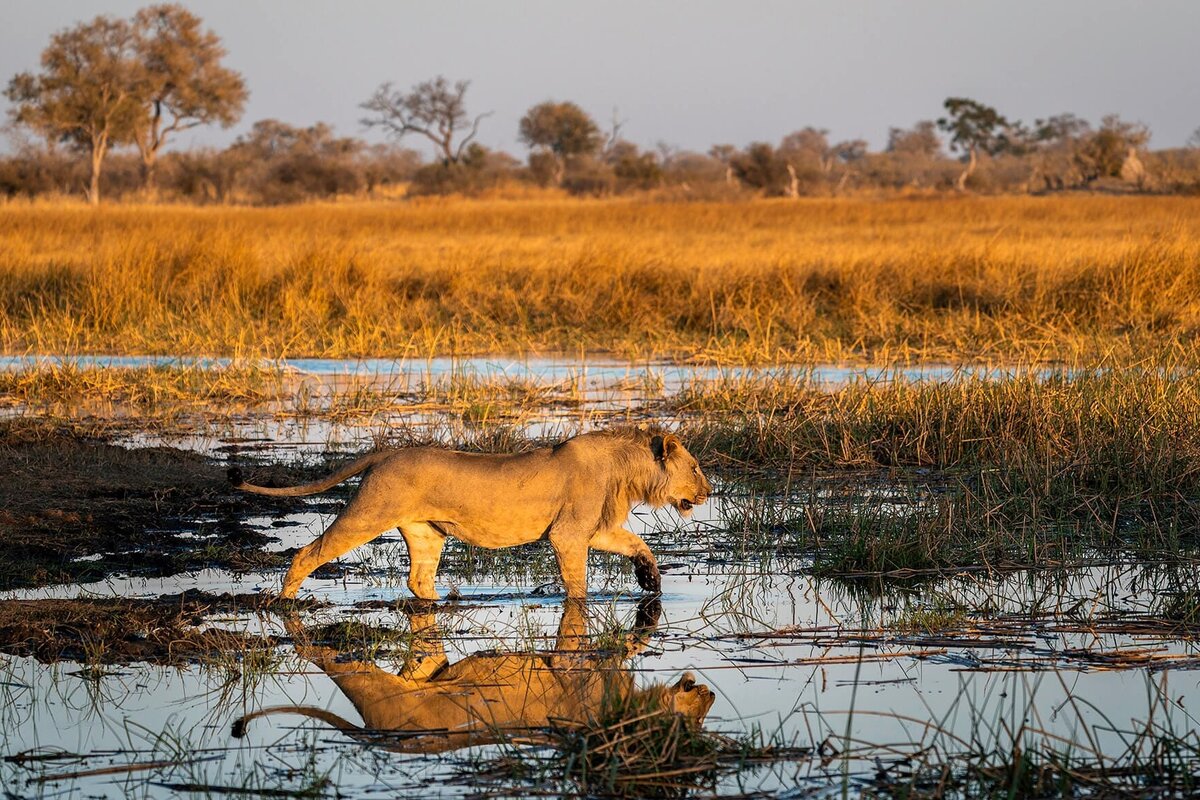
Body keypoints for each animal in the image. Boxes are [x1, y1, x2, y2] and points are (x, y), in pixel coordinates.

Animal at [229, 429, 711, 600]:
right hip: (368, 513)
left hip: (426, 532)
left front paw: (650, 581)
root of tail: (386, 454)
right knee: (308, 553)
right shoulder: (569, 534)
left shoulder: (594, 529)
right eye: (694, 468)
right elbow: (577, 584)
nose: (708, 492)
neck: (625, 471)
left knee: (418, 579)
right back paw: (285, 601)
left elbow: (637, 543)